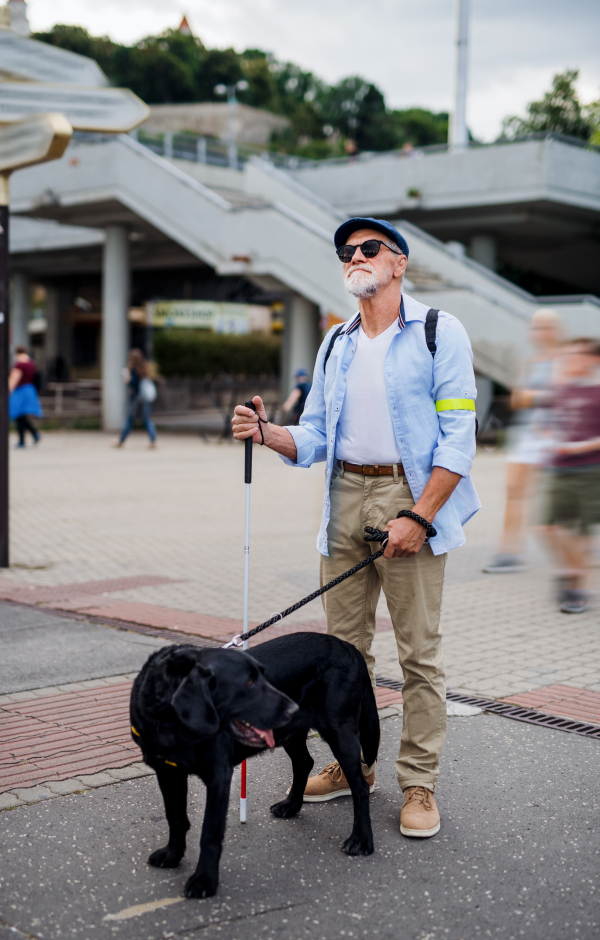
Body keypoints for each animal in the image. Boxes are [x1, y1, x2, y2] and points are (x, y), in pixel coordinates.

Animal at [131, 632, 380, 896]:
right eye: (249, 683)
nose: (293, 707)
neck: (171, 724)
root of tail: (348, 647)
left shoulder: (218, 777)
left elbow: (210, 833)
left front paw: (204, 880)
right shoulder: (167, 772)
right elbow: (175, 817)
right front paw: (172, 856)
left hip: (340, 734)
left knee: (361, 788)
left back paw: (361, 839)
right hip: (290, 733)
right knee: (304, 762)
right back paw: (290, 805)